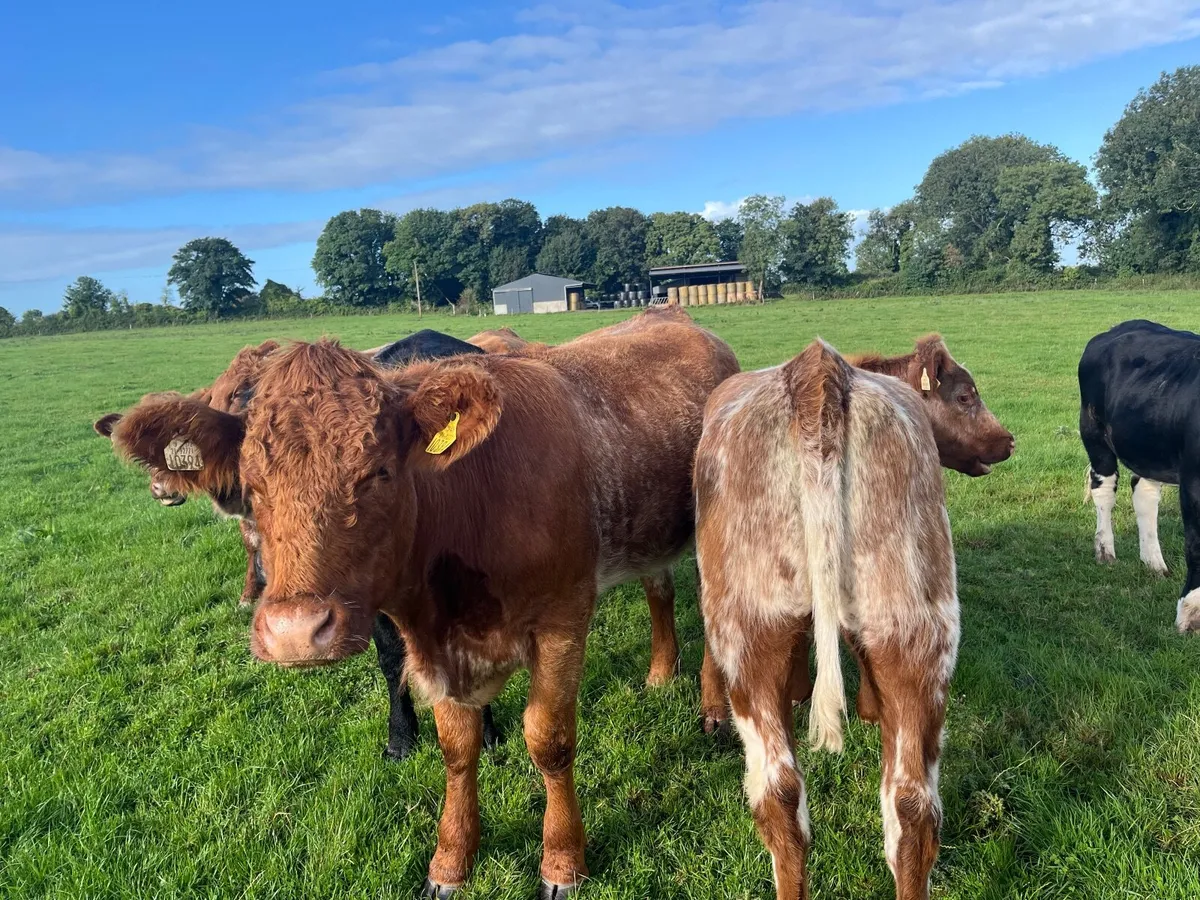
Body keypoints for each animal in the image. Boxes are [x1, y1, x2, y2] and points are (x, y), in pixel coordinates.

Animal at [94, 329, 501, 760]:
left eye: (378, 471)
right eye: (253, 478)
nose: (295, 630)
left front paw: (488, 733)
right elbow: (392, 658)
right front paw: (401, 737)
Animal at [1079, 319, 1200, 633]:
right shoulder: (1193, 484)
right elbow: (1195, 545)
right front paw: (1191, 612)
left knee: (1143, 492)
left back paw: (1154, 563)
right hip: (1094, 433)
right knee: (1103, 489)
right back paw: (1105, 551)